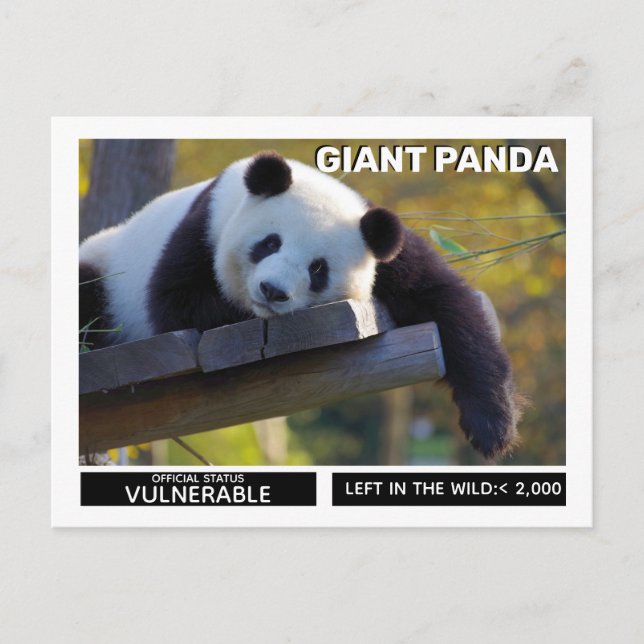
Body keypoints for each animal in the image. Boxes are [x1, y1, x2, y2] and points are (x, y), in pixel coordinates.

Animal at [80, 151, 521, 458]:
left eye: (318, 268)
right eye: (269, 242)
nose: (272, 291)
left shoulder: (385, 250)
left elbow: (447, 302)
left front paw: (493, 427)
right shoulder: (204, 226)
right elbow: (176, 301)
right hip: (106, 270)